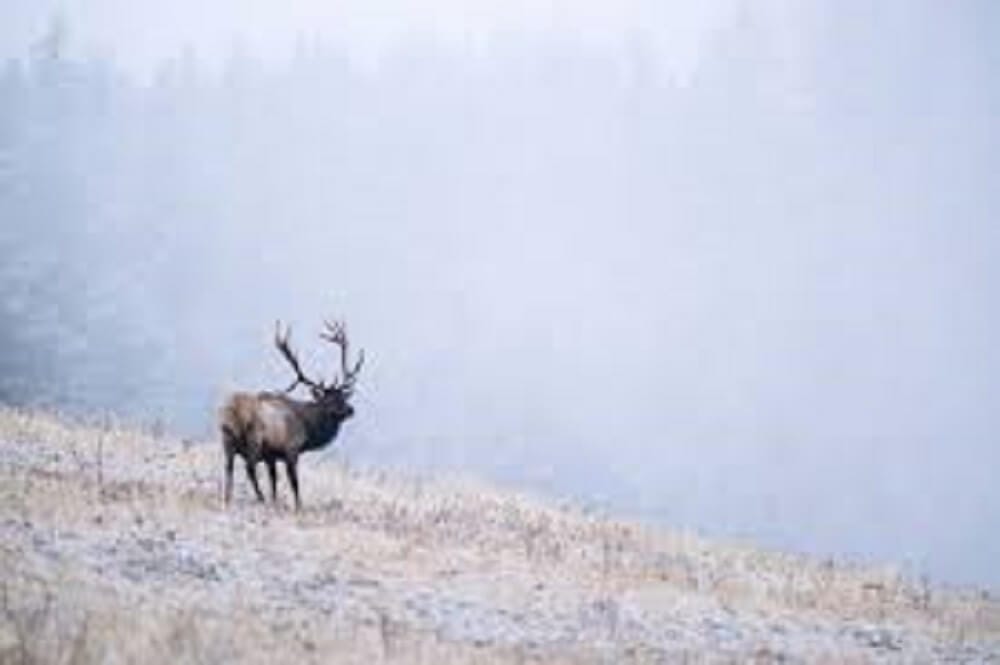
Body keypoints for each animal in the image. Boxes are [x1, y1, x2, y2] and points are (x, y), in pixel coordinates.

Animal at [219, 320, 365, 510]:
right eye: (329, 401)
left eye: (342, 397)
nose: (351, 410)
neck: (308, 430)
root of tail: (233, 412)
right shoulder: (291, 449)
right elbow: (294, 482)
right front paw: (298, 506)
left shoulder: (271, 456)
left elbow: (273, 480)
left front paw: (275, 501)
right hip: (254, 440)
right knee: (249, 468)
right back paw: (260, 498)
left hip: (226, 440)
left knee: (228, 468)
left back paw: (228, 498)